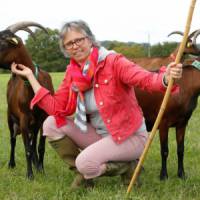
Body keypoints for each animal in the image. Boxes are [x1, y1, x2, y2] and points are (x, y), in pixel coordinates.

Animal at [0, 22, 54, 180]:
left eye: (2, 41)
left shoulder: (43, 118)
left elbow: (39, 146)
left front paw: (41, 170)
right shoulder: (23, 119)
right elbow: (27, 149)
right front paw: (30, 175)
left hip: (34, 124)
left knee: (33, 141)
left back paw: (36, 164)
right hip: (10, 116)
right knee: (13, 140)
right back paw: (12, 164)